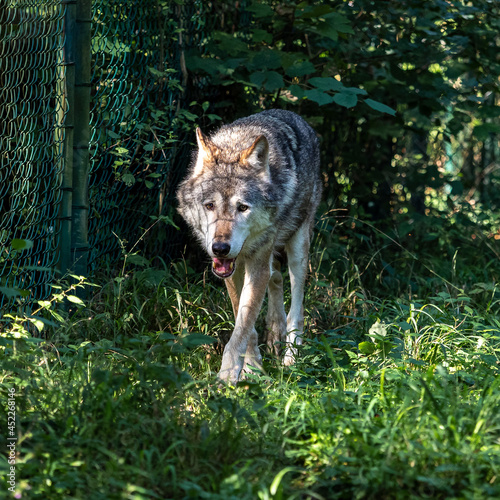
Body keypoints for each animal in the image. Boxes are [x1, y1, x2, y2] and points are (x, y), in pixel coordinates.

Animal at [178, 109, 322, 382]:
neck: (235, 145)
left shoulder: (256, 266)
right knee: (276, 279)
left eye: (243, 207)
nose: (220, 248)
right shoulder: (233, 272)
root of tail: (294, 115)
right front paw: (252, 367)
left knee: (296, 310)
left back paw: (291, 359)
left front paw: (229, 375)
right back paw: (275, 332)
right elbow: (245, 323)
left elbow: (243, 327)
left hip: (298, 248)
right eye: (209, 205)